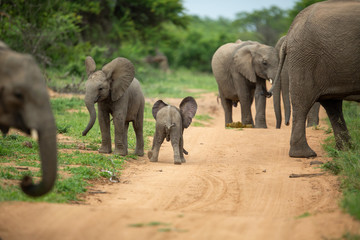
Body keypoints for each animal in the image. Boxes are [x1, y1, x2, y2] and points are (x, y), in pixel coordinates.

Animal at [268, 0, 360, 158]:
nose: (284, 124)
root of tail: (291, 30)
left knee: (332, 105)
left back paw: (346, 150)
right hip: (306, 57)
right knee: (304, 102)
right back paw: (306, 154)